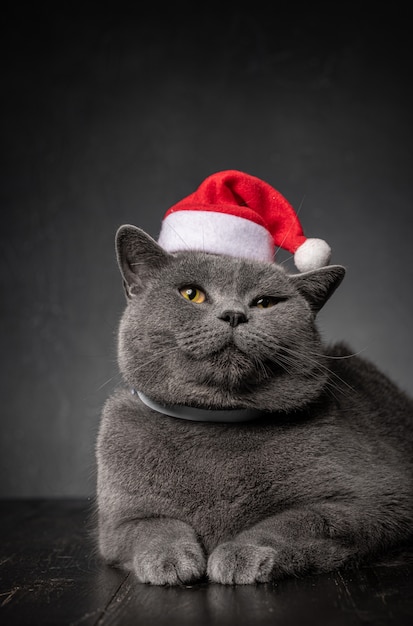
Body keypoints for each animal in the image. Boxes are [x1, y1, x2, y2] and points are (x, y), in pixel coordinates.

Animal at [96, 225, 412, 584]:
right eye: (191, 294)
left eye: (265, 303)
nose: (234, 314)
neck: (217, 421)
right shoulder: (117, 520)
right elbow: (151, 525)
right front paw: (168, 558)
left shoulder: (377, 501)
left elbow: (299, 520)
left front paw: (241, 553)